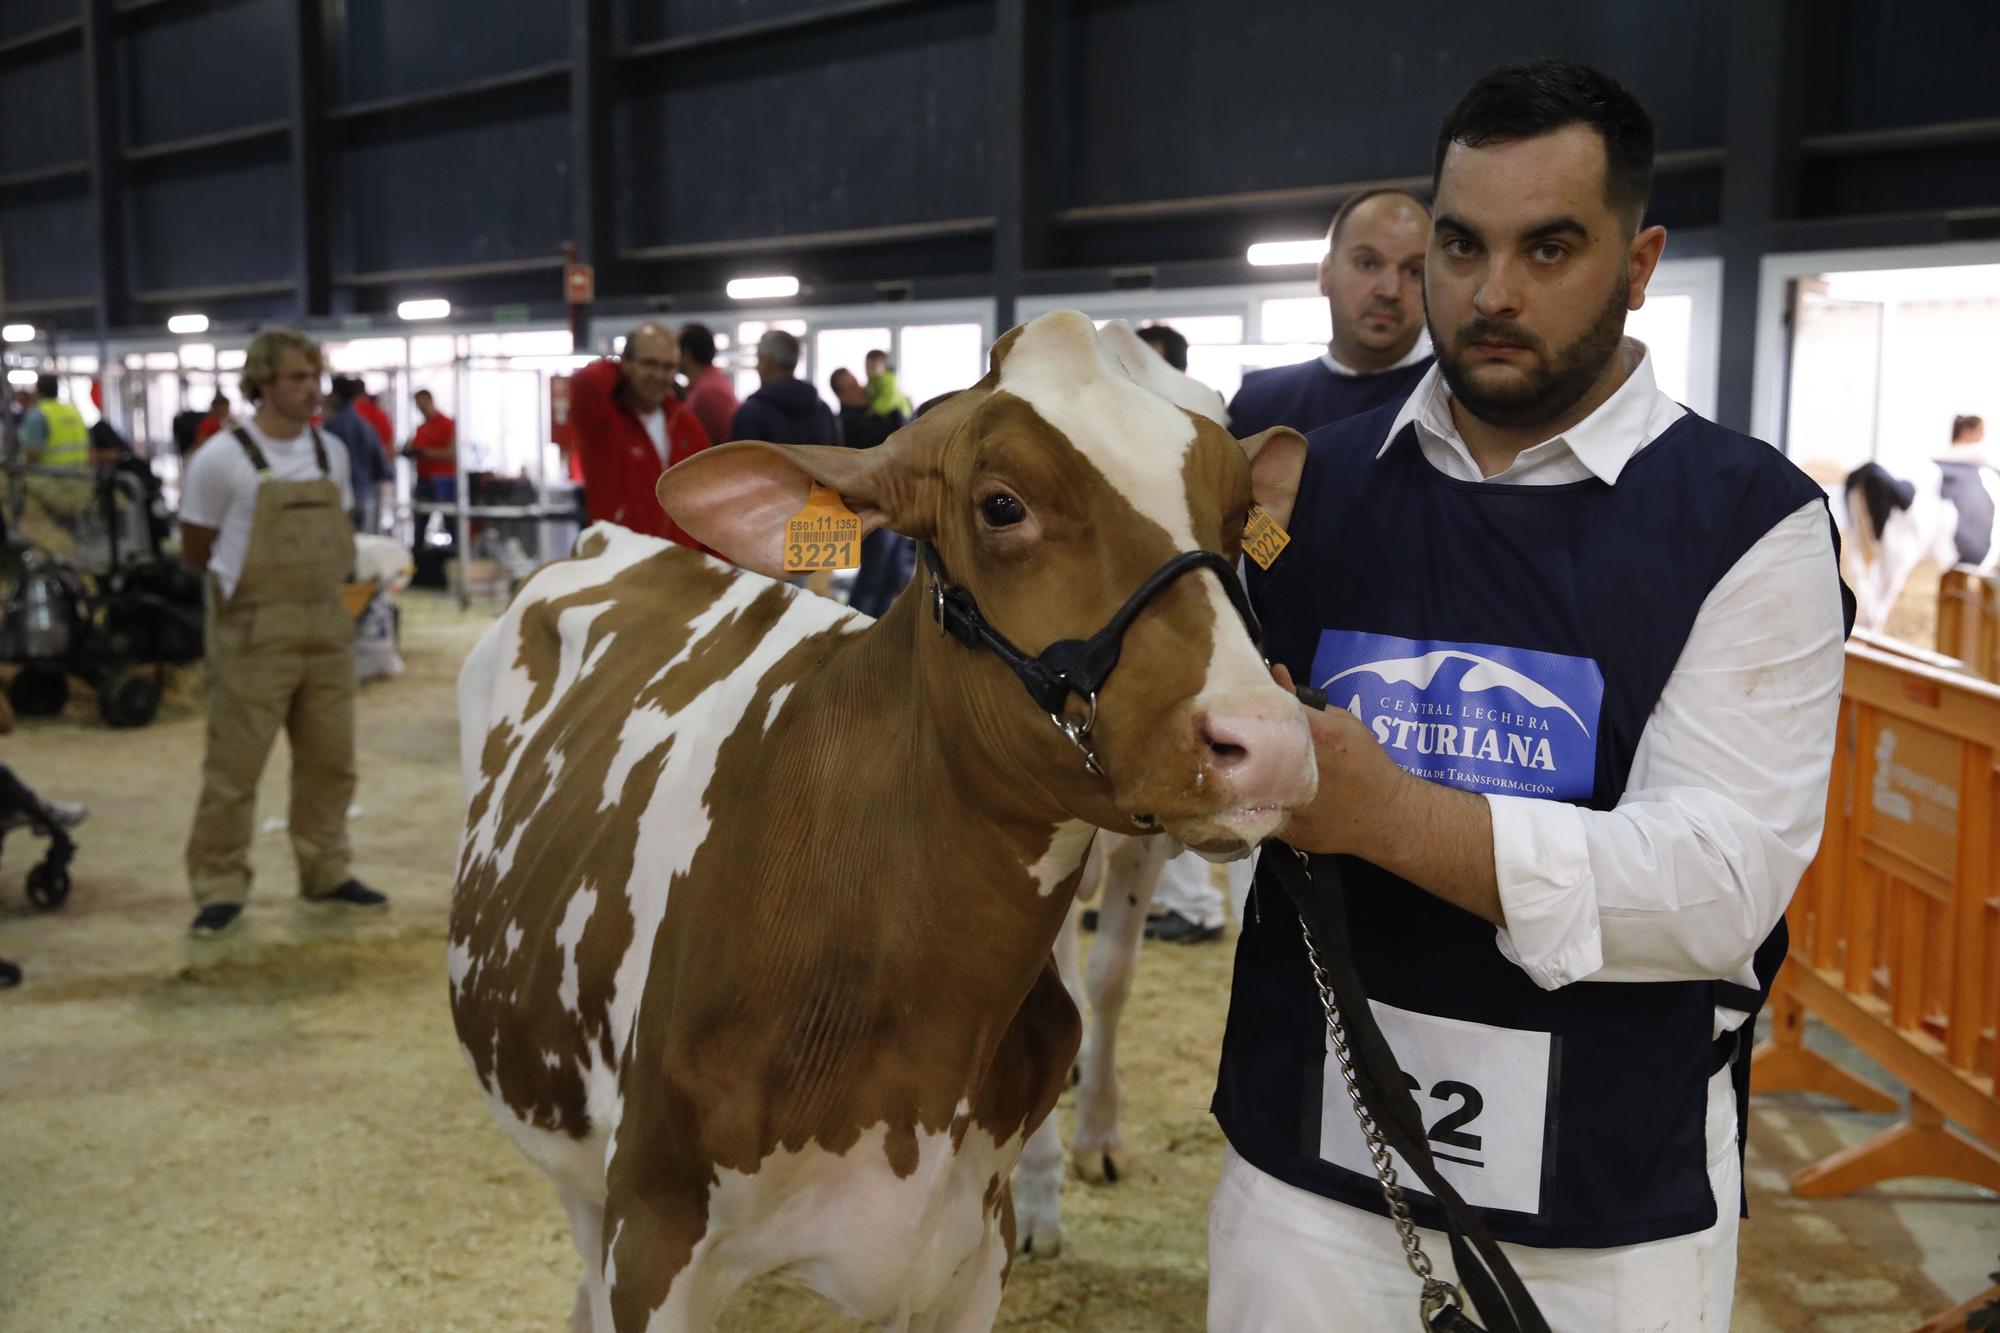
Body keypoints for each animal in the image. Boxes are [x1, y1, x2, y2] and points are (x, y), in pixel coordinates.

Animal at [460, 314, 1320, 1328]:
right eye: (1000, 505)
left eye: (1239, 515)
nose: (1268, 738)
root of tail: (608, 537)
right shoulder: (656, 1232)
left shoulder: (967, 1249)